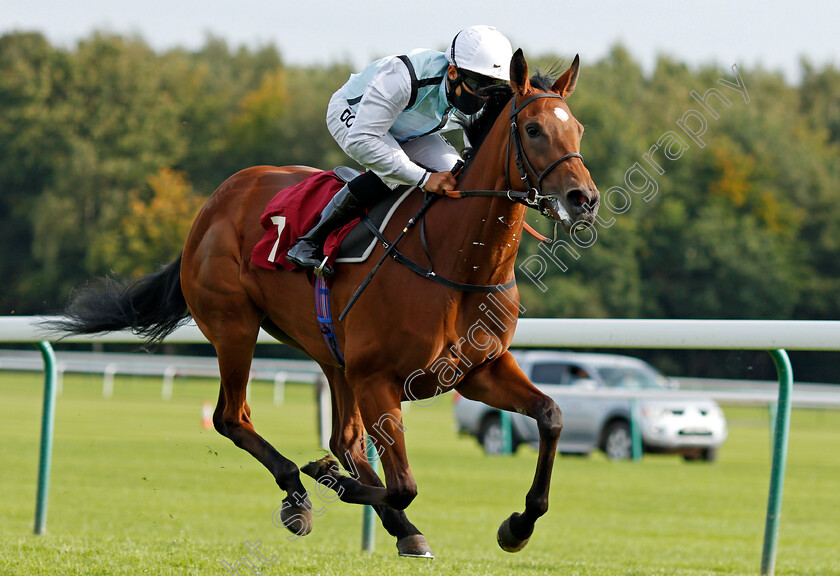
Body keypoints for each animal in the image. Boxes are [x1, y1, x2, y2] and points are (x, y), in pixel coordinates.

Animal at [50, 50, 596, 560]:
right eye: (533, 128)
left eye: (578, 129)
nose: (584, 199)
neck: (456, 264)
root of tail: (214, 203)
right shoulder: (378, 379)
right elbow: (403, 484)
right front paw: (324, 477)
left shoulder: (477, 370)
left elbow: (550, 416)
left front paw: (518, 526)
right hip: (235, 327)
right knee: (233, 417)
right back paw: (299, 492)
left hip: (332, 353)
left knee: (343, 439)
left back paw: (395, 524)